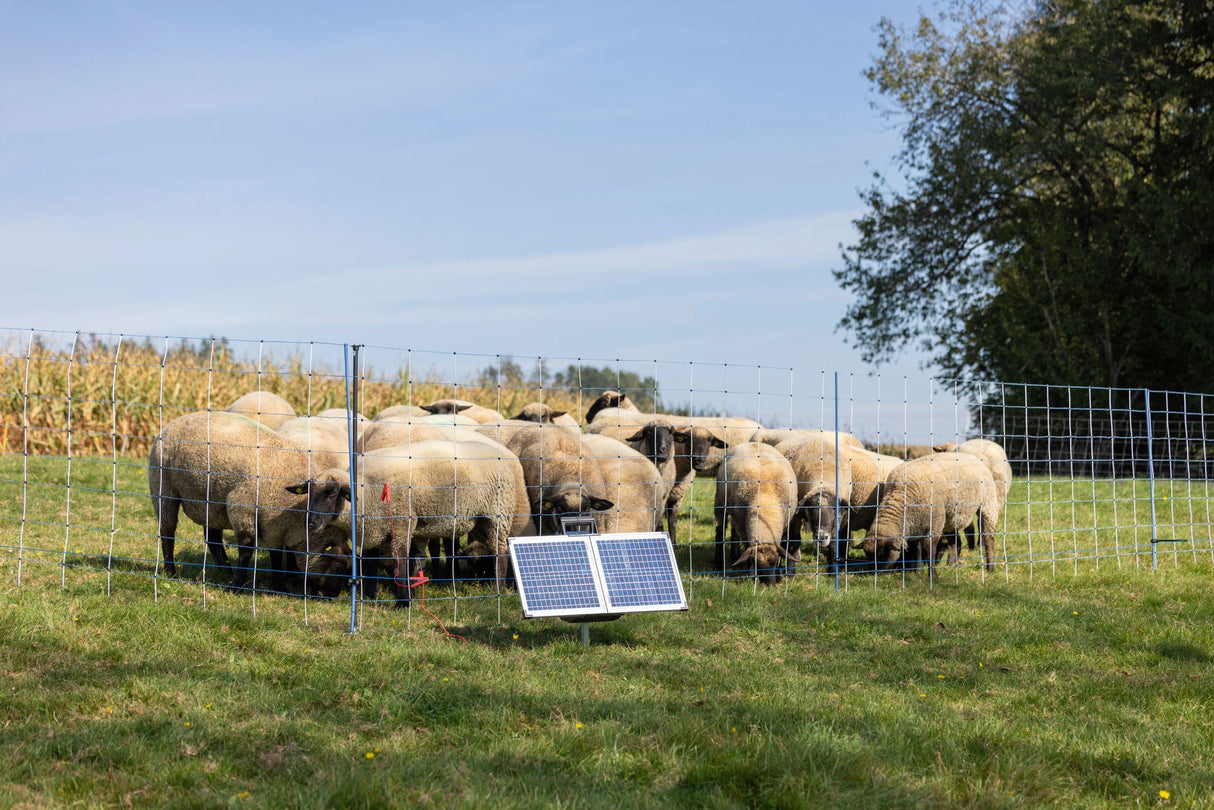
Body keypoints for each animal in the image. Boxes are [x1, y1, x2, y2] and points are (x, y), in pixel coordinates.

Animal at [291, 439, 534, 604]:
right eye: (309, 494)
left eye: (333, 494)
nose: (310, 524)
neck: (365, 491)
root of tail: (499, 452)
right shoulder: (373, 530)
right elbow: (371, 562)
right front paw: (371, 596)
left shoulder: (400, 524)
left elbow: (401, 564)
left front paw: (403, 602)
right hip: (479, 520)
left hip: (497, 514)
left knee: (500, 551)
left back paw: (498, 588)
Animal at [708, 444, 796, 582]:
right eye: (756, 564)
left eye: (776, 561)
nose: (770, 584)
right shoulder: (742, 524)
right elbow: (746, 545)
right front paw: (749, 574)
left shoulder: (784, 522)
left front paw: (779, 575)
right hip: (720, 502)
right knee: (720, 530)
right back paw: (719, 562)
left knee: (732, 530)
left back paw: (735, 556)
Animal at [864, 449, 1005, 575]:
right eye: (868, 555)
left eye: (882, 554)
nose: (872, 573)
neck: (900, 495)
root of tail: (973, 457)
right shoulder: (917, 523)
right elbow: (918, 548)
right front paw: (919, 571)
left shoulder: (934, 523)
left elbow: (929, 548)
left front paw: (932, 575)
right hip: (950, 517)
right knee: (954, 541)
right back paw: (951, 565)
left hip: (988, 504)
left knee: (988, 538)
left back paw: (991, 568)